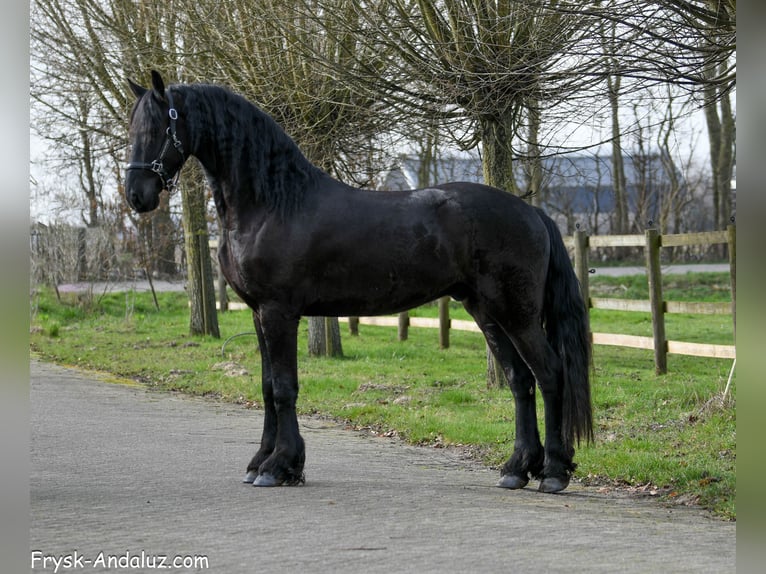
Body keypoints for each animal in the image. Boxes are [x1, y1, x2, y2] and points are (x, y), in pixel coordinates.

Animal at [125, 70, 592, 493]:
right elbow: (266, 386)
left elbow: (284, 388)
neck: (272, 202)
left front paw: (279, 466)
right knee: (519, 380)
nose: (136, 195)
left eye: (157, 128)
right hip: (486, 311)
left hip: (517, 313)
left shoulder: (279, 312)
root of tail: (533, 212)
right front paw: (264, 462)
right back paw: (516, 469)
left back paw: (553, 472)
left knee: (550, 374)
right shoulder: (258, 312)